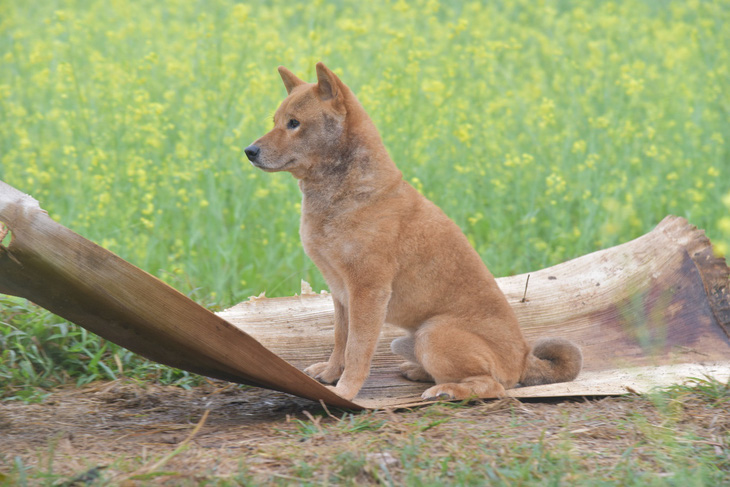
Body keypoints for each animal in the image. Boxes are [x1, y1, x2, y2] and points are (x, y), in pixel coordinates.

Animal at [245, 63, 580, 402]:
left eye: (294, 123)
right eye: (275, 121)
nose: (249, 150)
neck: (346, 197)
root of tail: (525, 358)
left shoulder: (368, 291)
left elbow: (357, 350)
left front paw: (346, 390)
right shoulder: (341, 293)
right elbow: (340, 341)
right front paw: (329, 375)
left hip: (433, 334)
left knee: (491, 386)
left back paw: (445, 390)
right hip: (407, 340)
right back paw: (419, 372)